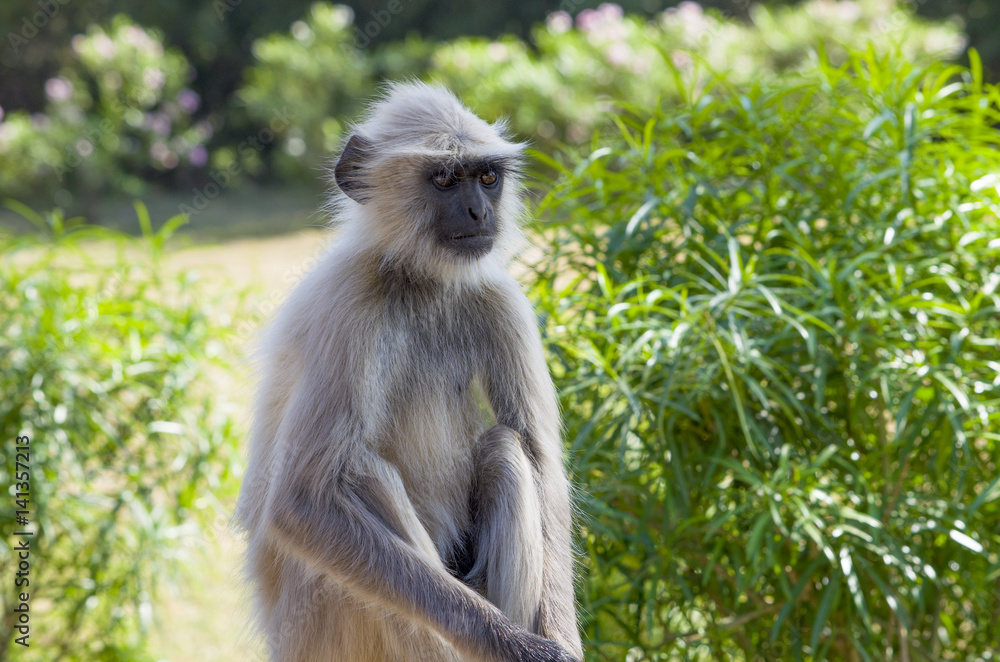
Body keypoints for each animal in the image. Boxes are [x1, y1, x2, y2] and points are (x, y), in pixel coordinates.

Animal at [234, 83, 584, 662]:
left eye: (487, 177)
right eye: (444, 179)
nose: (478, 211)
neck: (419, 281)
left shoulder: (500, 298)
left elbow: (540, 462)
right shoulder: (348, 306)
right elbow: (300, 502)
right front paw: (520, 648)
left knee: (506, 448)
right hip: (324, 624)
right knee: (359, 470)